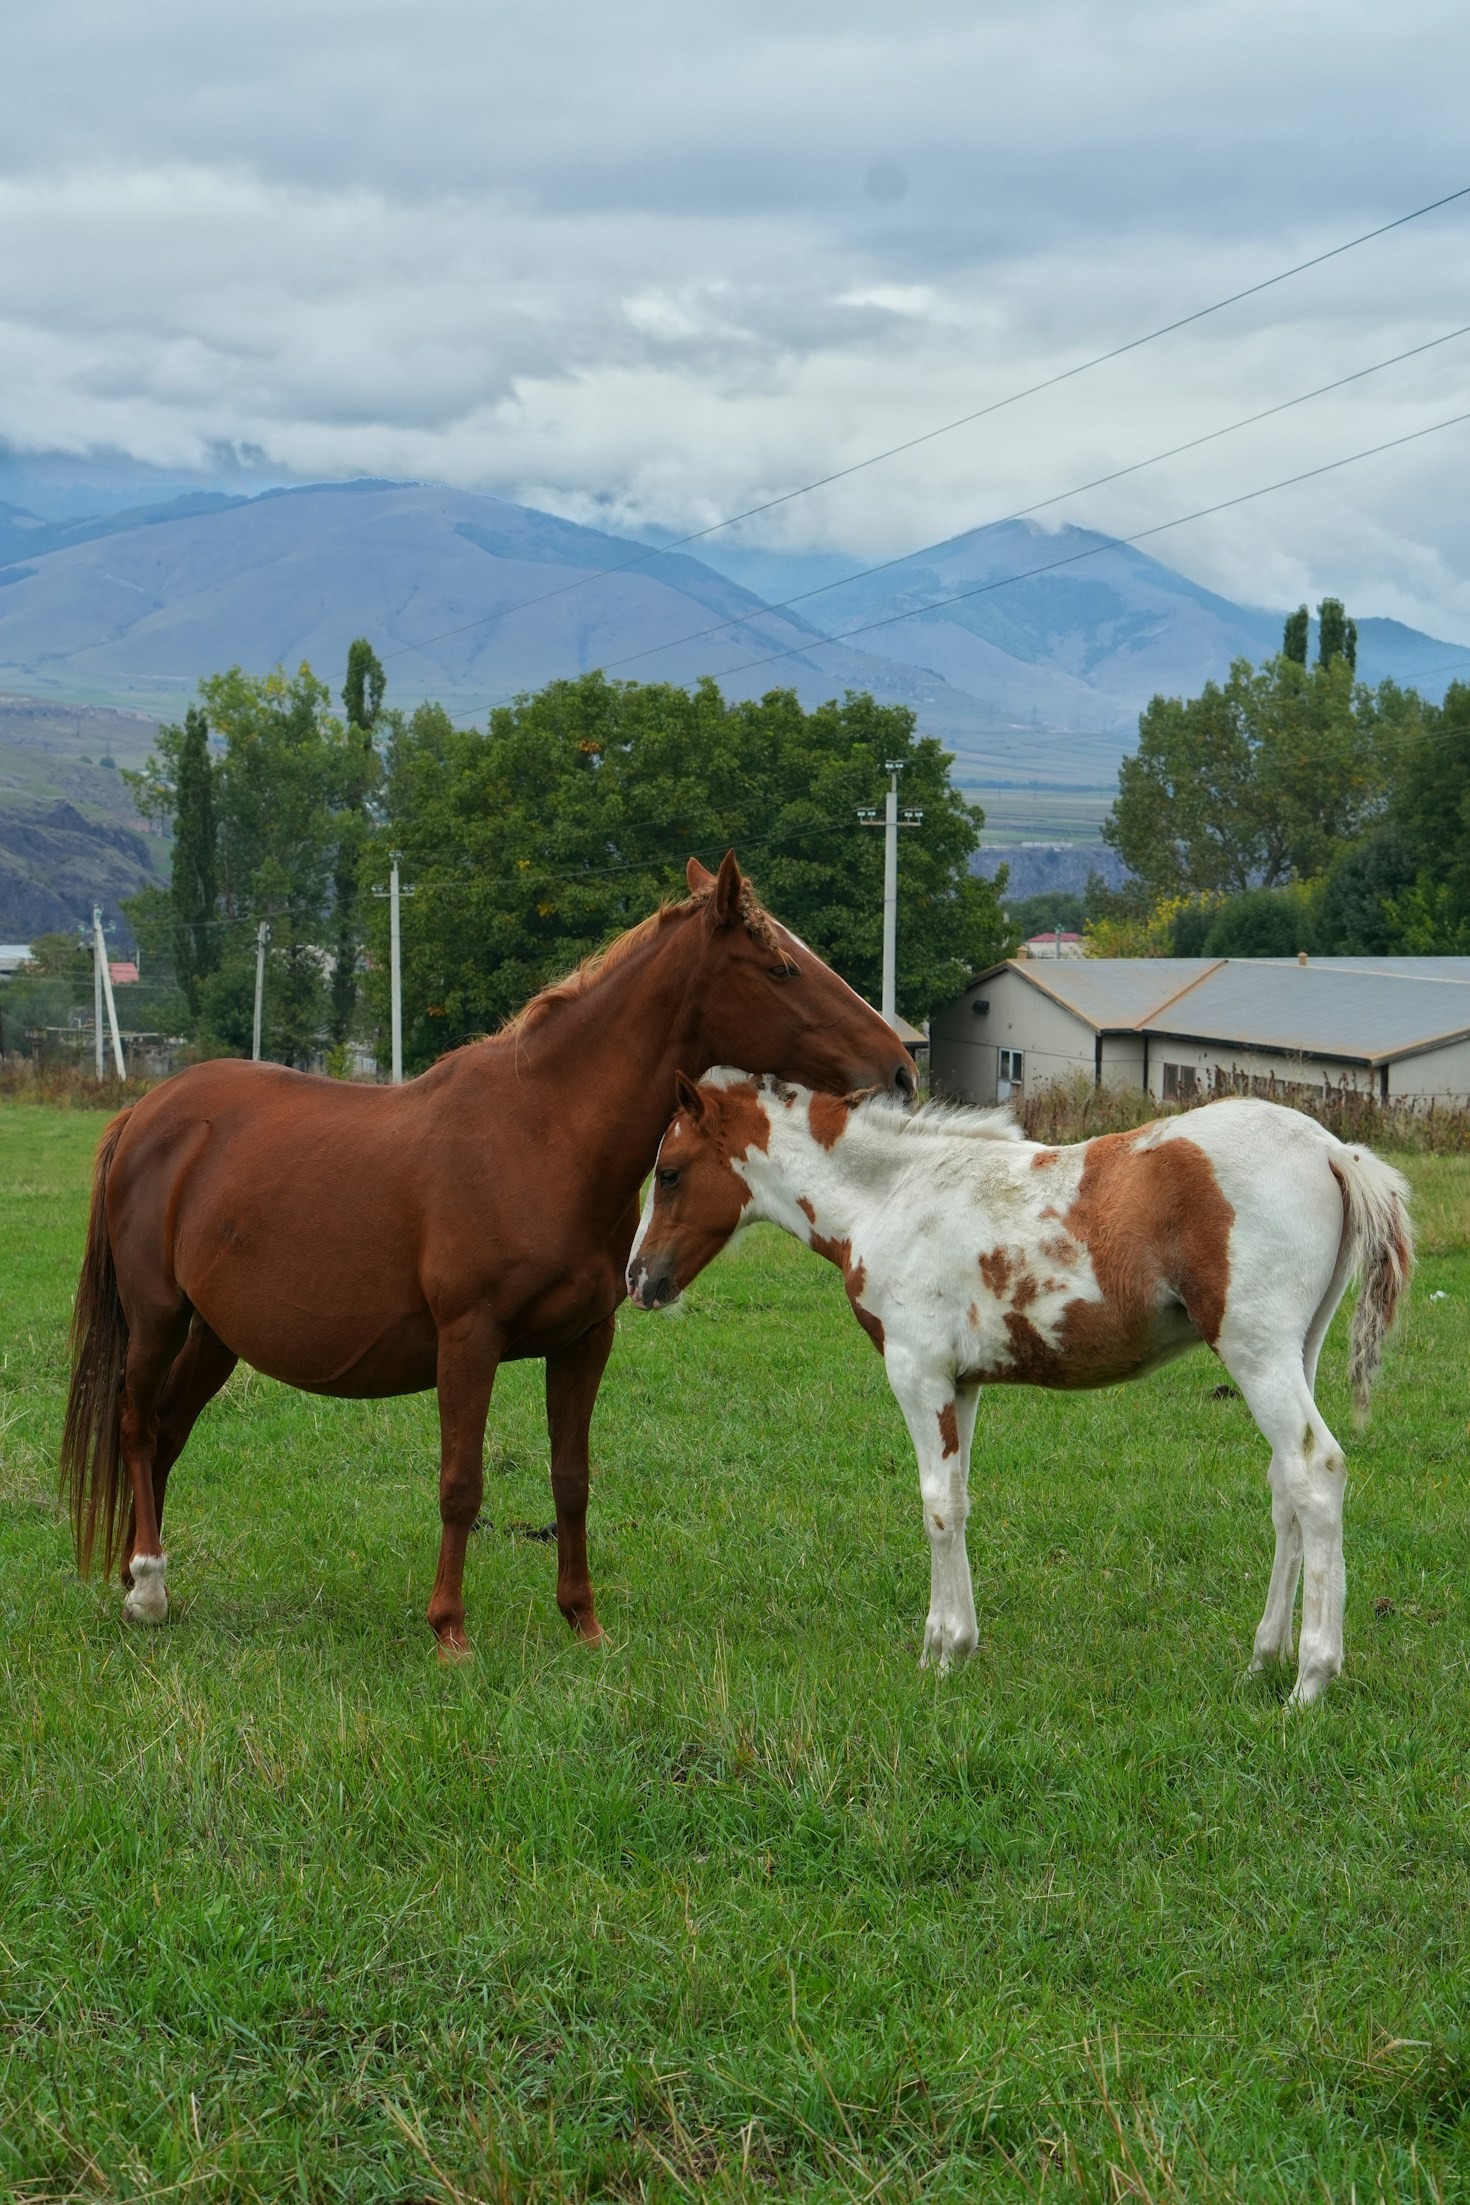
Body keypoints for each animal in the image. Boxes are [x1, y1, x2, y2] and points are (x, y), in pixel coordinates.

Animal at [61, 855, 915, 1655]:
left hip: (215, 1335)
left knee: (168, 1431)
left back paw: (145, 1578)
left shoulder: (583, 1341)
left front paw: (583, 1621)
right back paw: (146, 1587)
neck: (542, 1134)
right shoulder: (467, 1340)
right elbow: (461, 1483)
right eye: (780, 966)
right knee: (138, 1426)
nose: (901, 1069)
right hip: (158, 1319)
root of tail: (146, 1113)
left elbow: (571, 1479)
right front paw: (450, 1631)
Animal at [626, 1070, 1413, 1705]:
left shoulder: (917, 1373)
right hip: (1295, 1349)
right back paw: (1263, 1660)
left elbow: (937, 1506)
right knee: (1286, 1486)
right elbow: (961, 1499)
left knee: (1316, 1470)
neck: (891, 1197)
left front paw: (943, 1653)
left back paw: (1311, 1680)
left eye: (668, 1172)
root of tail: (1330, 1149)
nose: (639, 1279)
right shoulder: (962, 1385)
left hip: (1256, 1350)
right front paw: (952, 1645)